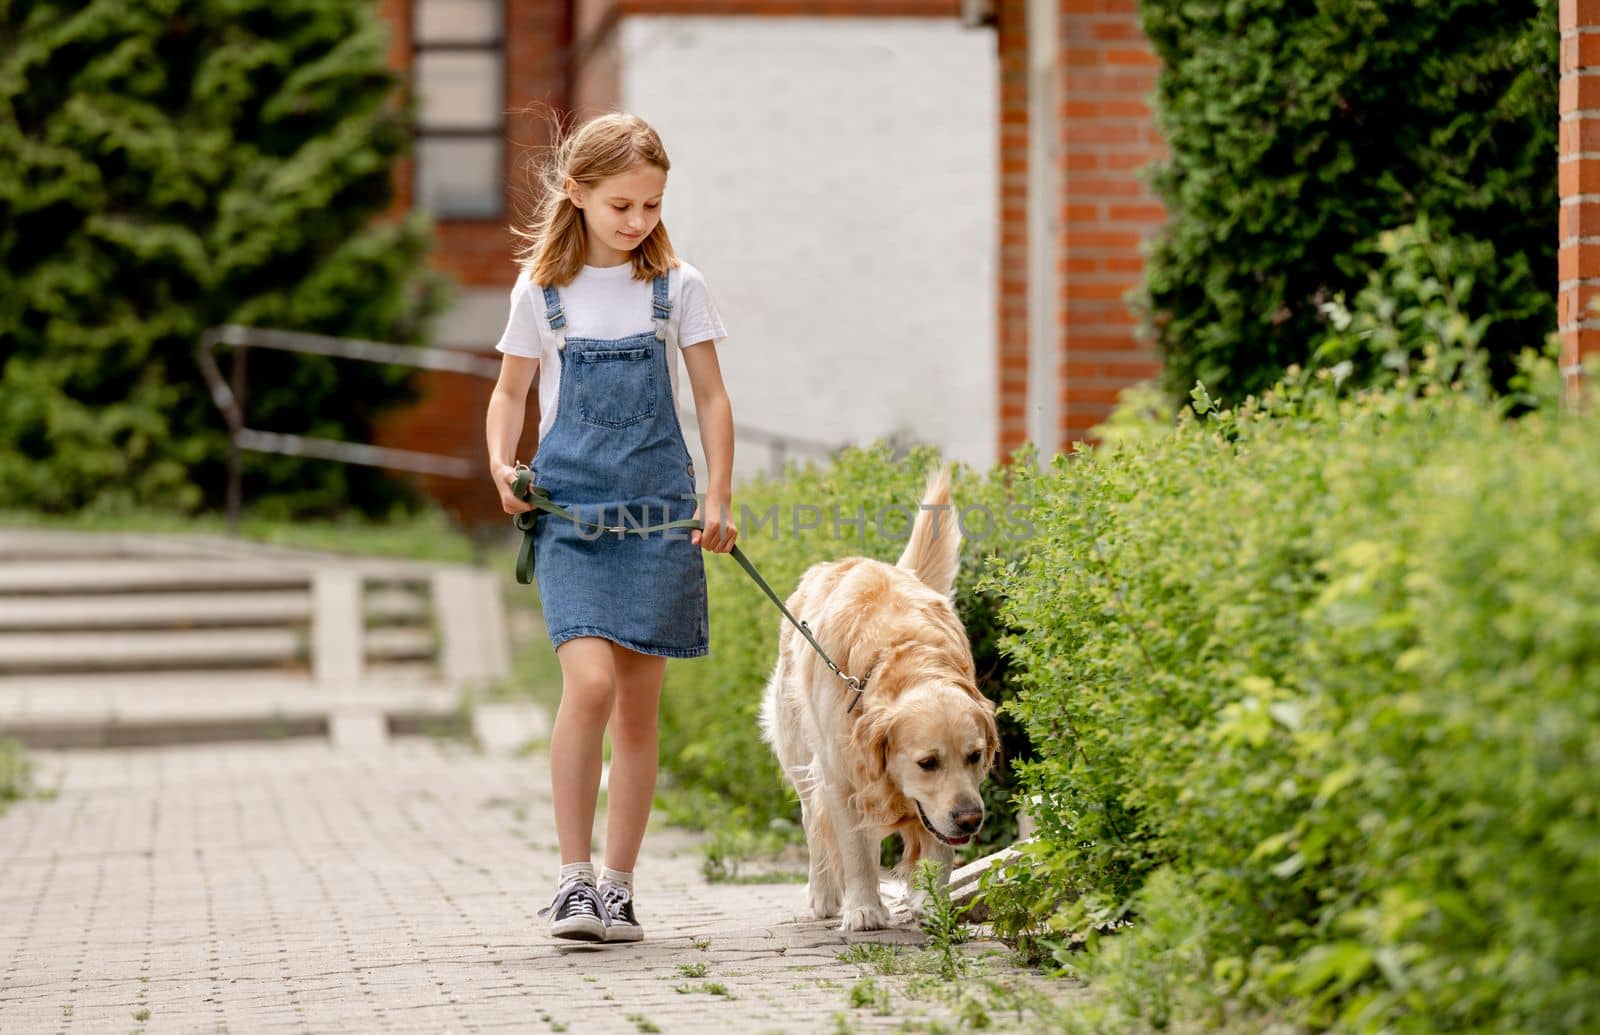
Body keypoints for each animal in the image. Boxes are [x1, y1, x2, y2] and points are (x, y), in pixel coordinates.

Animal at [761, 467, 998, 934]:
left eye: (975, 756)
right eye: (927, 762)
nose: (971, 819)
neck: (901, 654)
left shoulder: (941, 804)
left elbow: (939, 848)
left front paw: (932, 904)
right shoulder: (840, 776)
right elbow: (854, 849)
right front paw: (864, 910)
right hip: (799, 755)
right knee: (813, 824)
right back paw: (824, 896)